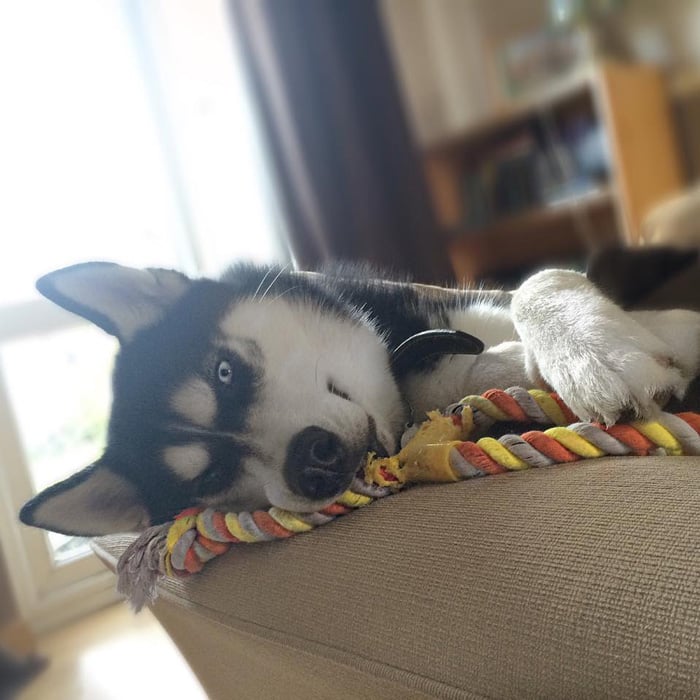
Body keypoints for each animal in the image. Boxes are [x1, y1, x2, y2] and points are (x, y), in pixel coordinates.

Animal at [17, 262, 700, 536]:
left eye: (224, 373)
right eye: (209, 476)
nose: (310, 462)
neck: (402, 350)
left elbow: (540, 281)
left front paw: (597, 352)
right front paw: (515, 364)